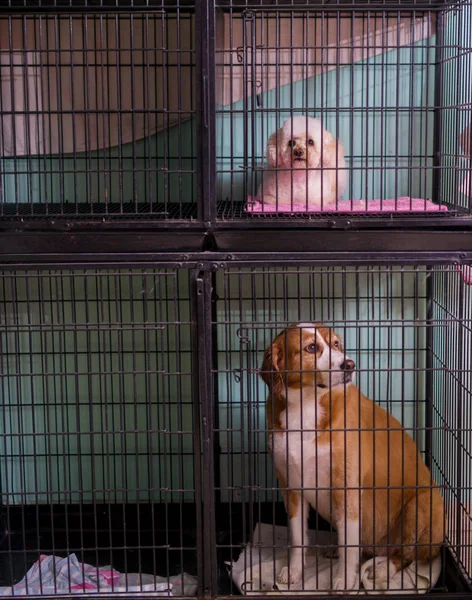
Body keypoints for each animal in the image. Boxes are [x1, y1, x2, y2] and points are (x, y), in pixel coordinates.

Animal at [260, 324, 444, 592]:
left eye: (336, 344)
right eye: (311, 347)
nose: (349, 364)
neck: (306, 408)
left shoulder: (346, 489)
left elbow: (350, 545)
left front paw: (344, 579)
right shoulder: (291, 487)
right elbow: (297, 537)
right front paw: (294, 571)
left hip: (423, 504)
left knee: (406, 556)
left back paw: (383, 569)